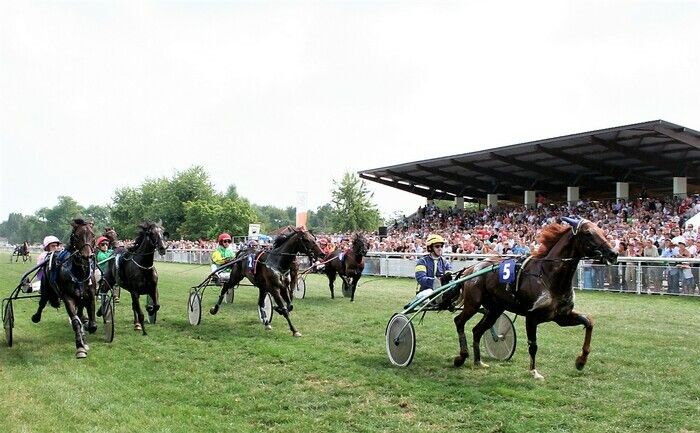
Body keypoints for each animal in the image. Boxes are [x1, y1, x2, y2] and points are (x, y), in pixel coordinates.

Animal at [31, 219, 96, 358]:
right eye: (77, 236)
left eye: (93, 235)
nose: (87, 256)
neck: (79, 273)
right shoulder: (68, 297)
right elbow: (76, 322)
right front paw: (80, 347)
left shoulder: (90, 295)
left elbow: (92, 322)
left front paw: (87, 329)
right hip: (46, 288)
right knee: (42, 302)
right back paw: (36, 317)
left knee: (80, 313)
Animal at [452, 216, 616, 378]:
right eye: (588, 233)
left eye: (602, 231)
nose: (613, 253)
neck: (548, 276)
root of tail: (472, 268)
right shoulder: (531, 316)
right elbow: (533, 345)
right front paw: (533, 371)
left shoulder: (561, 317)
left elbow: (589, 322)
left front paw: (581, 361)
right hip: (473, 303)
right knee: (459, 321)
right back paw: (461, 357)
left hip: (494, 310)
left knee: (477, 330)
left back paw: (478, 361)